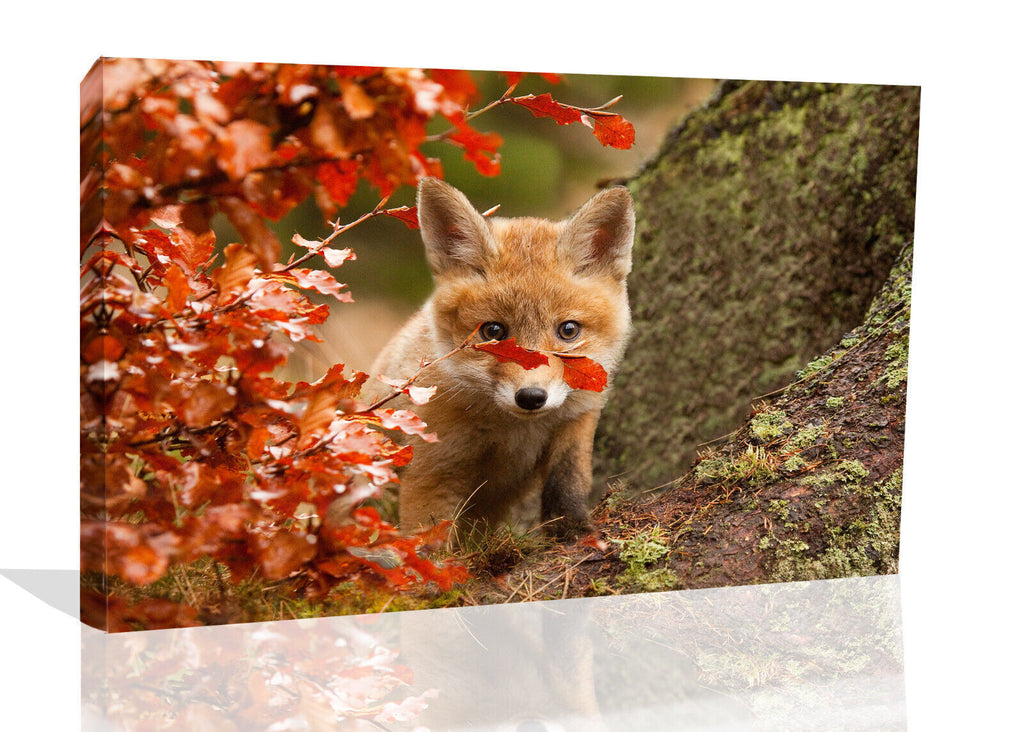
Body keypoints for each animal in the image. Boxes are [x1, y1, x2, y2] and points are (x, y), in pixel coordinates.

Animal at [366, 177, 634, 540]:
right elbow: (428, 538)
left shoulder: (577, 421)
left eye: (568, 330)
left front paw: (573, 529)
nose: (531, 397)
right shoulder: (432, 466)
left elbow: (569, 481)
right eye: (493, 331)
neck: (516, 434)